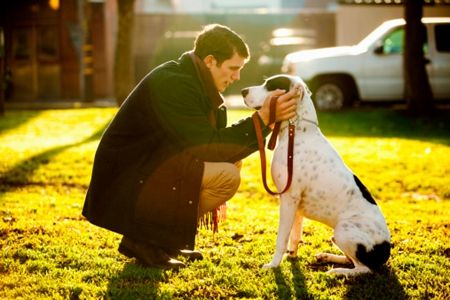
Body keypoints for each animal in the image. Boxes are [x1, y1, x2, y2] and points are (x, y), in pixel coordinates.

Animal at [243, 75, 390, 276]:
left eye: (270, 86)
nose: (243, 91)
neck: (297, 130)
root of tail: (386, 250)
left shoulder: (288, 198)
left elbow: (282, 238)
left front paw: (274, 265)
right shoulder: (295, 205)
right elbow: (294, 235)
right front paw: (292, 256)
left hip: (344, 230)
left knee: (364, 269)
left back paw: (337, 272)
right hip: (337, 235)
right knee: (351, 260)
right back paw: (327, 257)